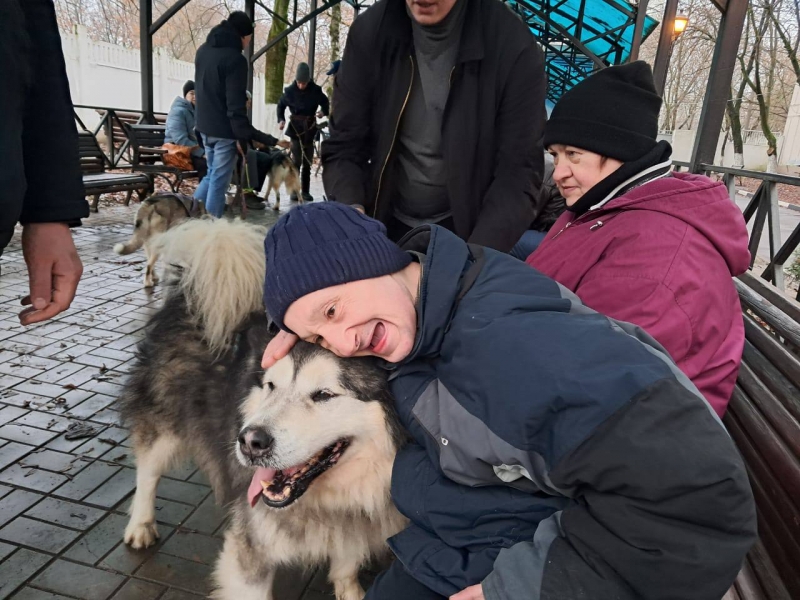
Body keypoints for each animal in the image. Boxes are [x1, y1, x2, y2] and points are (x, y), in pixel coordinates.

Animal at [119, 219, 407, 600]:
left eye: (324, 394)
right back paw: (140, 525)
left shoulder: (354, 527)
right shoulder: (250, 550)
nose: (250, 442)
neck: (333, 501)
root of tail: (190, 297)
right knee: (147, 472)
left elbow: (346, 566)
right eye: (271, 386)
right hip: (163, 421)